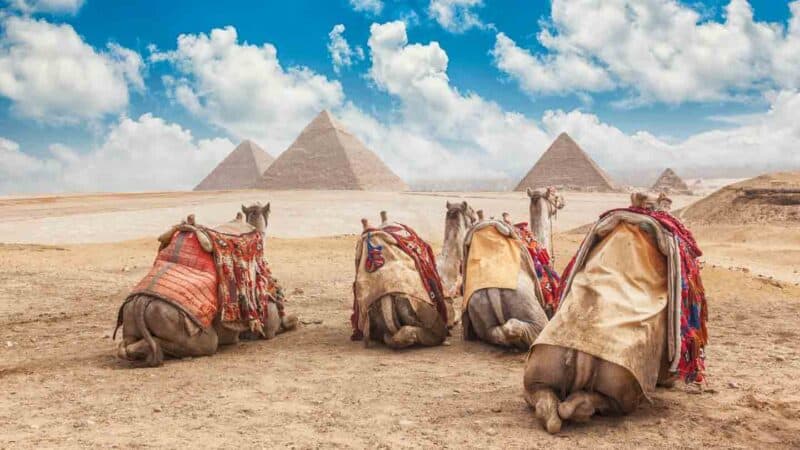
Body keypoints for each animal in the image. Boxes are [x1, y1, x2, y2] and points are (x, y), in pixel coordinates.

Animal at [115, 202, 296, 368]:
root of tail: (141, 302)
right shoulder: (267, 321)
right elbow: (287, 322)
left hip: (131, 315)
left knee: (125, 347)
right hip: (180, 323)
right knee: (208, 343)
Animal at [460, 188, 564, 350]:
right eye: (554, 195)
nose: (562, 201)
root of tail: (493, 290)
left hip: (478, 309)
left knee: (494, 332)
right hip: (530, 309)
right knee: (522, 328)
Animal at [524, 192, 708, 432]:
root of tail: (580, 351)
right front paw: (669, 382)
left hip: (539, 369)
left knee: (545, 401)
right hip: (622, 385)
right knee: (606, 403)